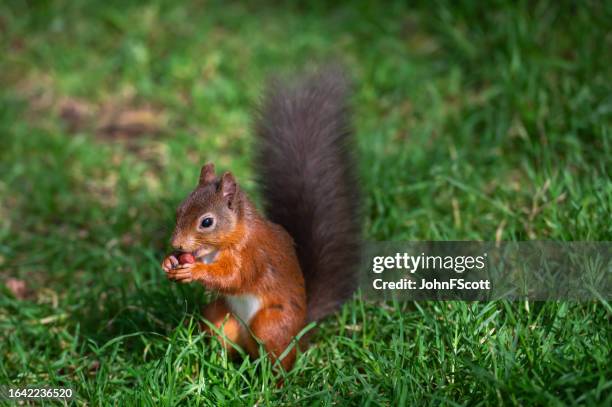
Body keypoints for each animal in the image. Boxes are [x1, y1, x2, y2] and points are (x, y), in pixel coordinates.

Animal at [161, 70, 358, 372]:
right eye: (180, 209)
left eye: (206, 222)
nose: (177, 244)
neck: (225, 242)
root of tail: (302, 331)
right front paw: (170, 262)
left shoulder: (253, 254)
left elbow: (233, 277)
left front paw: (194, 271)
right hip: (219, 316)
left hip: (271, 324)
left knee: (278, 359)